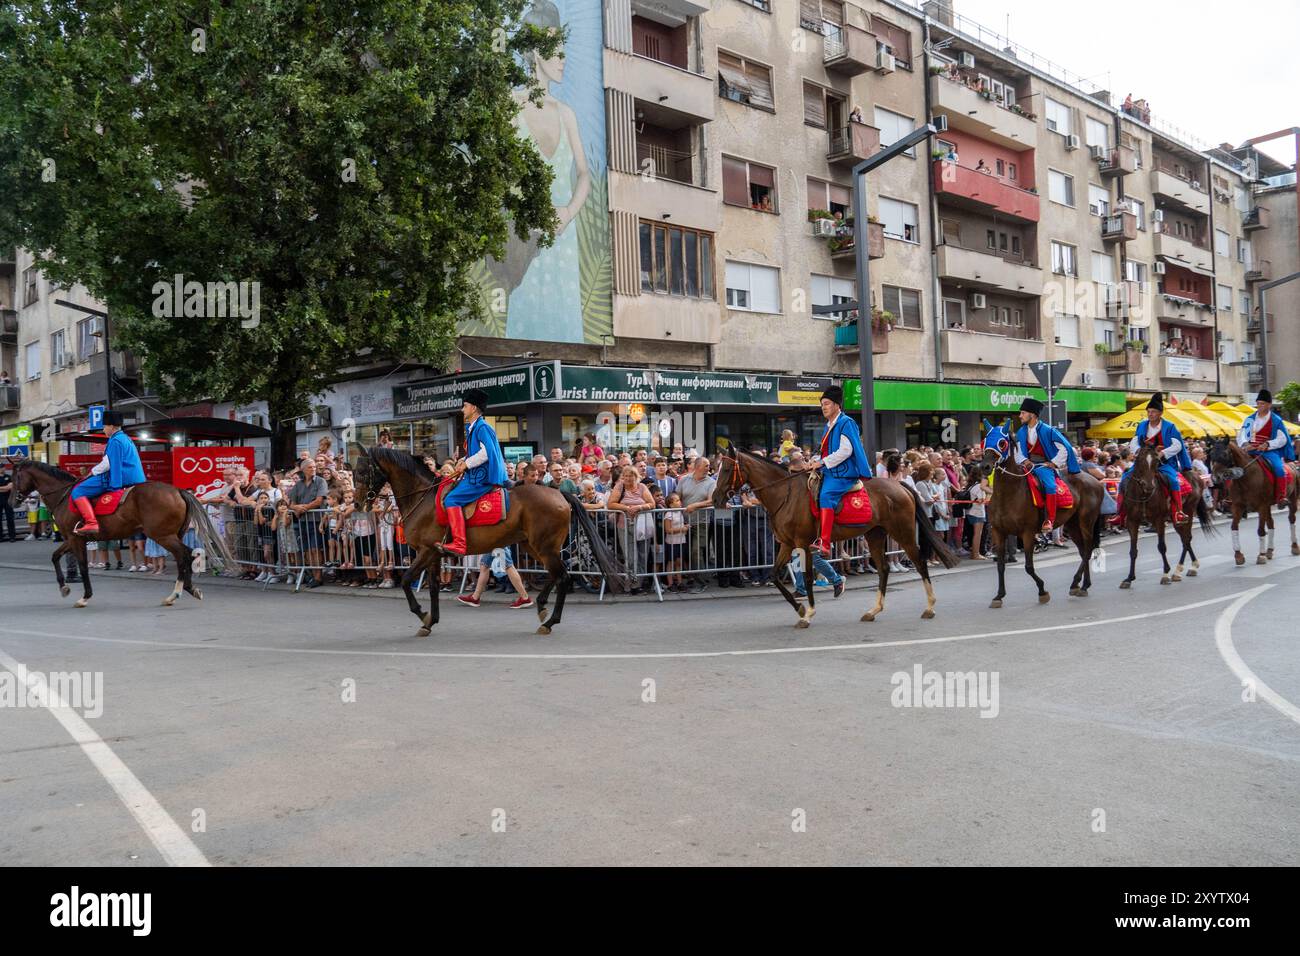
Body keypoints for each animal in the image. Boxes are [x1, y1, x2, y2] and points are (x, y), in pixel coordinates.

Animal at [8, 460, 236, 608]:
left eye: (14, 477)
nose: (11, 502)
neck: (64, 496)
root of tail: (178, 490)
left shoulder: (75, 539)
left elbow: (83, 566)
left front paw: (85, 596)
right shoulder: (72, 539)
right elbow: (55, 557)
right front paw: (64, 588)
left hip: (162, 536)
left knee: (186, 554)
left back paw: (178, 592)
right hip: (172, 534)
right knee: (184, 557)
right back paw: (184, 590)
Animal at [351, 447, 624, 634]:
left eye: (363, 471)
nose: (357, 503)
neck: (422, 498)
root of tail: (558, 493)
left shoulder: (426, 551)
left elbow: (408, 581)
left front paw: (421, 614)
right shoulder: (434, 555)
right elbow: (434, 587)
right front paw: (430, 621)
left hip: (545, 547)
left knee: (563, 577)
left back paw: (549, 620)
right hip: (533, 545)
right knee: (557, 575)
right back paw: (541, 606)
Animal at [712, 447, 956, 629]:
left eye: (727, 468)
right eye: (719, 468)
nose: (715, 498)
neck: (785, 494)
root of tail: (899, 485)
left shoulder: (803, 544)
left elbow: (807, 577)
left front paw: (808, 613)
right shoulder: (787, 544)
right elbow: (774, 575)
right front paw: (800, 608)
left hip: (902, 532)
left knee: (919, 561)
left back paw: (929, 607)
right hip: (875, 534)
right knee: (884, 568)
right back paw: (873, 611)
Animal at [977, 429, 1102, 608]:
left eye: (1002, 443)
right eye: (985, 440)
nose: (985, 466)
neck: (1009, 493)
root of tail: (1096, 481)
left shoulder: (1028, 533)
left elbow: (1029, 566)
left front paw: (1042, 591)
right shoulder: (998, 532)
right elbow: (1000, 566)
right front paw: (999, 596)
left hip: (1086, 521)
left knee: (1087, 550)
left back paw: (1076, 583)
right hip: (1072, 524)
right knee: (1084, 551)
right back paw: (1083, 585)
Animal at [1112, 444, 1211, 587]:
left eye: (1157, 461)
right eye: (1139, 460)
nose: (1149, 486)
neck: (1143, 495)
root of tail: (1196, 475)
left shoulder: (1159, 520)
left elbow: (1161, 547)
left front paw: (1165, 574)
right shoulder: (1132, 521)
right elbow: (1133, 551)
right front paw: (1129, 578)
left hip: (1188, 511)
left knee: (1187, 539)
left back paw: (1183, 569)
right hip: (1175, 519)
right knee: (1185, 539)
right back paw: (1185, 569)